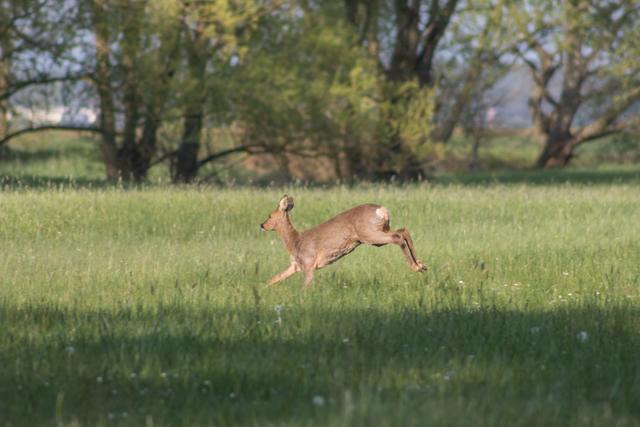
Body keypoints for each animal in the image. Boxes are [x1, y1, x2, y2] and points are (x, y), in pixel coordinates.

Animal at [260, 195, 427, 287]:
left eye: (269, 216)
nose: (261, 225)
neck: (295, 241)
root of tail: (382, 210)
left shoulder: (308, 263)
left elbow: (305, 287)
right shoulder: (295, 266)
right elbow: (274, 279)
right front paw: (261, 288)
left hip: (369, 235)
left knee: (397, 237)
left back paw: (416, 267)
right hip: (380, 230)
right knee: (403, 230)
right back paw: (421, 264)